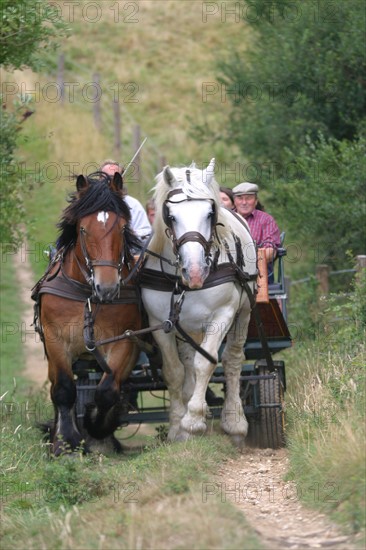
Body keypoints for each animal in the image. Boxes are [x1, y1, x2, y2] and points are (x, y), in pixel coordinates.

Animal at [33, 174, 142, 458]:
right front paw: (66, 442)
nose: (107, 287)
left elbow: (106, 392)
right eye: (83, 230)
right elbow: (63, 389)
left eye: (122, 229)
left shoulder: (124, 341)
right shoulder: (56, 341)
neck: (89, 297)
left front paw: (97, 429)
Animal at [140, 160, 258, 448]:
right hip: (185, 326)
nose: (194, 272)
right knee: (187, 360)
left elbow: (207, 362)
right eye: (171, 216)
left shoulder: (223, 315)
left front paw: (193, 420)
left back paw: (234, 422)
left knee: (232, 359)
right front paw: (177, 427)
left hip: (244, 312)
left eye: (210, 213)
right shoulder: (160, 323)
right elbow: (174, 370)